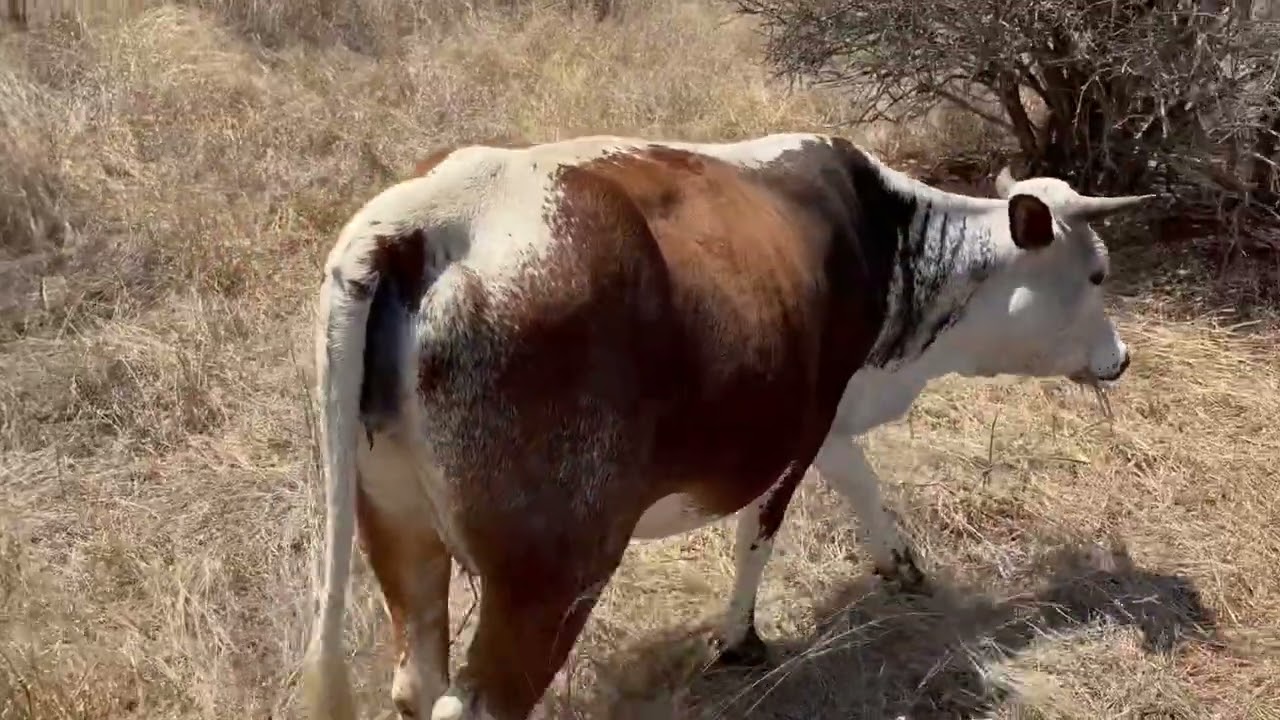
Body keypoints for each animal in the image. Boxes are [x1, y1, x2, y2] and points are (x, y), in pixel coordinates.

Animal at [301, 133, 1153, 720]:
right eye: (1097, 273)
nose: (1121, 359)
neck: (889, 243)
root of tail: (421, 222)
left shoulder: (825, 414)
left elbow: (863, 484)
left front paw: (903, 564)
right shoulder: (793, 438)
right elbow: (758, 538)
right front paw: (740, 641)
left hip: (398, 528)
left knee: (418, 682)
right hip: (552, 575)